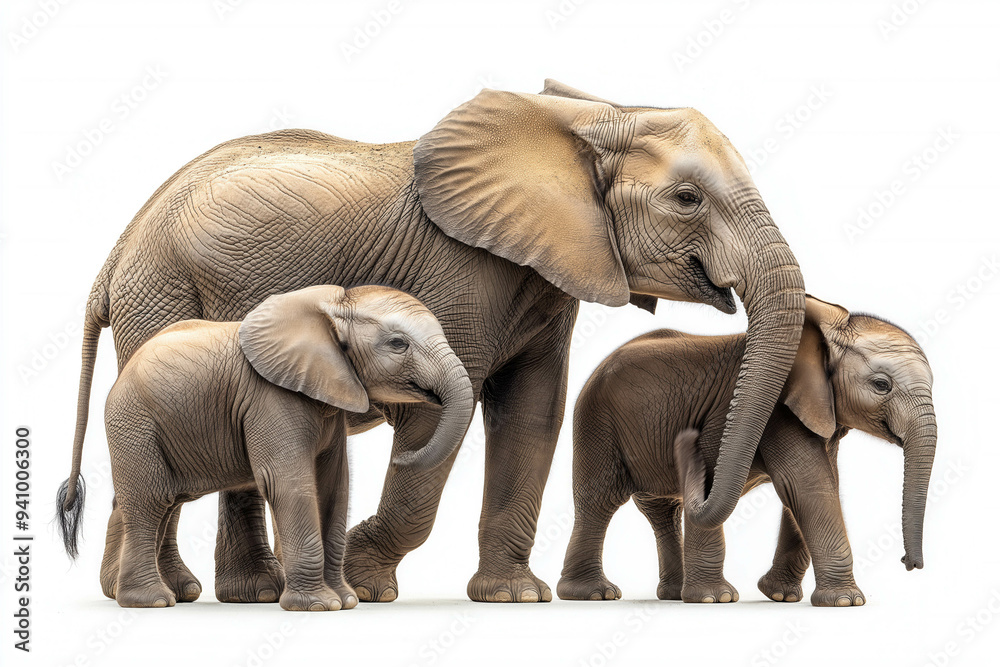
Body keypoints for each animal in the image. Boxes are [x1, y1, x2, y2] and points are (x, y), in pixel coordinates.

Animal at [57, 285, 474, 610]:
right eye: (398, 344)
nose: (402, 454)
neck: (335, 305)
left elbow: (334, 488)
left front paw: (346, 601)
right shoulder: (269, 396)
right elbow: (289, 483)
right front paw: (318, 606)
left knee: (160, 500)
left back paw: (140, 595)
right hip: (135, 422)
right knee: (152, 499)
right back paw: (153, 601)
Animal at [557, 296, 937, 606]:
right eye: (881, 385)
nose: (909, 563)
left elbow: (804, 488)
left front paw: (780, 596)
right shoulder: (763, 413)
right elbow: (809, 486)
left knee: (662, 509)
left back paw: (673, 595)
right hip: (595, 420)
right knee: (600, 500)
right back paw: (595, 594)